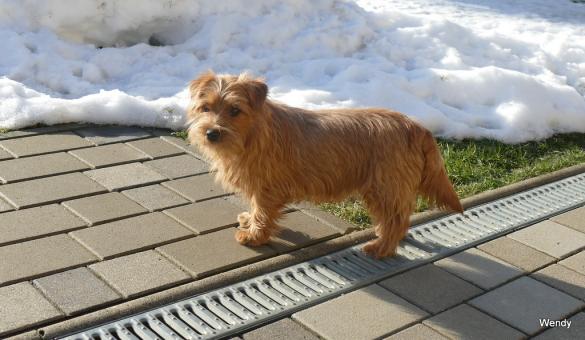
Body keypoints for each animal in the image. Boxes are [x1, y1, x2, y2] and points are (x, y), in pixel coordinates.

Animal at [187, 71, 460, 258]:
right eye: (205, 108)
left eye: (235, 110)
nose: (211, 133)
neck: (253, 134)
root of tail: (416, 126)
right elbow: (255, 209)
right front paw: (249, 220)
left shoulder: (267, 189)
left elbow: (263, 213)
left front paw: (255, 236)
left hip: (385, 188)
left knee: (396, 220)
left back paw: (380, 248)